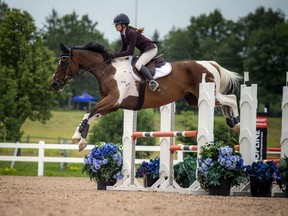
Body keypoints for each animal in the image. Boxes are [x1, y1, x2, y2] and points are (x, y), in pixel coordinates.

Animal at [51, 41, 241, 151]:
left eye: (63, 61)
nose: (54, 84)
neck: (107, 70)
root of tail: (211, 64)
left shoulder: (113, 100)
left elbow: (89, 111)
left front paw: (78, 138)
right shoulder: (113, 105)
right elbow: (91, 115)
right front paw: (79, 138)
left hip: (209, 94)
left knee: (231, 99)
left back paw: (237, 124)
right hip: (195, 100)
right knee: (226, 104)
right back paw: (232, 123)